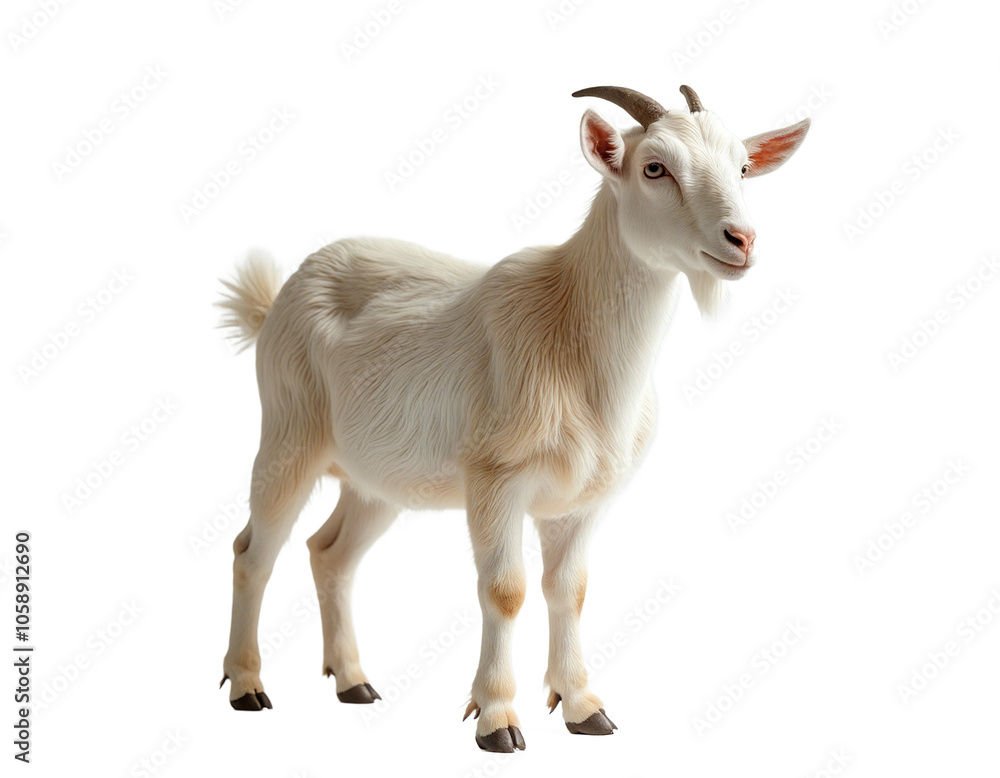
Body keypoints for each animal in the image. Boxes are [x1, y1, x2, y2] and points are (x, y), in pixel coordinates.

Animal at [218, 85, 810, 752]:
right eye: (655, 167)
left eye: (744, 167)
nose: (742, 240)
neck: (573, 332)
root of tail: (278, 299)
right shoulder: (495, 480)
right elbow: (506, 591)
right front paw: (498, 718)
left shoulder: (584, 499)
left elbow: (569, 590)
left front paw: (583, 708)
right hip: (288, 433)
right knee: (252, 552)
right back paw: (247, 686)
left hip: (378, 481)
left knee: (330, 553)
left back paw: (353, 681)